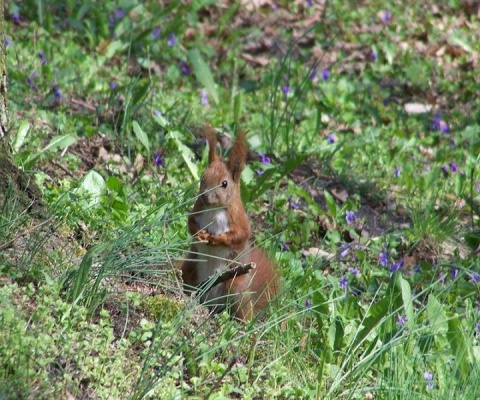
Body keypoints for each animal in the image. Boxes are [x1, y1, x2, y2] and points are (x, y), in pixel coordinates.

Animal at [182, 126, 280, 320]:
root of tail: (211, 302)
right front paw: (200, 234)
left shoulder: (238, 219)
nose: (205, 196)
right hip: (189, 268)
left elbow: (239, 235)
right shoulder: (197, 210)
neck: (215, 209)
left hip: (235, 286)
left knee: (242, 310)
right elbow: (190, 223)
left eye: (224, 183)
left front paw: (216, 239)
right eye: (202, 177)